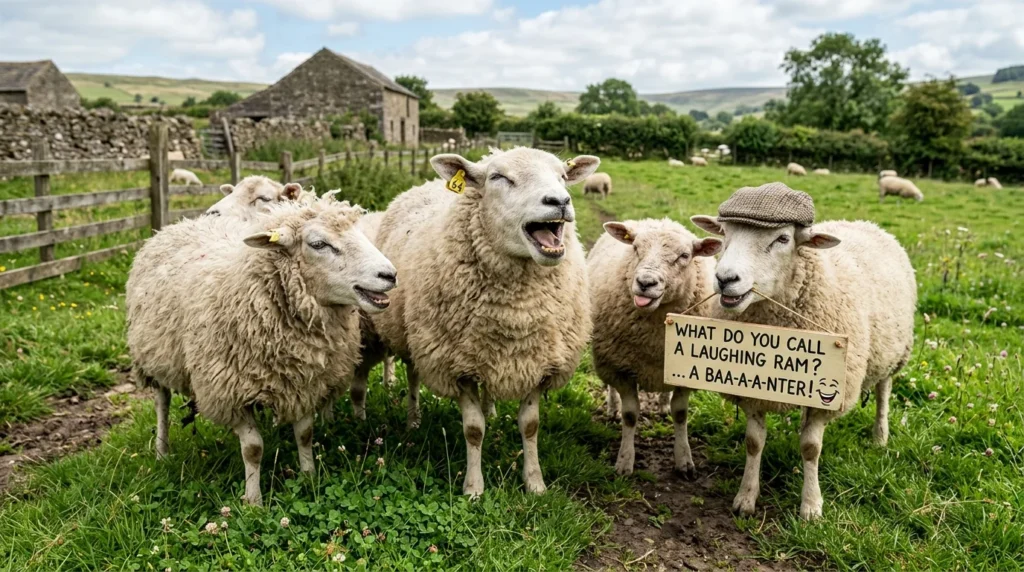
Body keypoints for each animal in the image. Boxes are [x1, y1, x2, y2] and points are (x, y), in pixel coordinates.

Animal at [126, 197, 397, 506]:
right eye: (318, 244)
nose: (389, 275)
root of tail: (177, 224)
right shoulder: (231, 392)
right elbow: (253, 448)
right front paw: (253, 500)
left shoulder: (304, 383)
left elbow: (305, 434)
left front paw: (309, 477)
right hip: (153, 357)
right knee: (162, 403)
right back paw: (162, 451)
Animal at [371, 146, 599, 496]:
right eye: (498, 177)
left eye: (563, 175)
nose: (560, 200)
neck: (516, 311)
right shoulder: (456, 365)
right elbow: (473, 429)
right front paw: (473, 488)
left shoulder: (538, 361)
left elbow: (530, 425)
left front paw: (535, 483)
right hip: (415, 338)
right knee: (413, 376)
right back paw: (413, 420)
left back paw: (490, 409)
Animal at [588, 219, 720, 476]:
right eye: (635, 248)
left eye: (685, 255)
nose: (645, 283)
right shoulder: (619, 367)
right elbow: (630, 415)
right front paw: (624, 462)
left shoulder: (687, 372)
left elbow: (681, 414)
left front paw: (684, 460)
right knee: (611, 388)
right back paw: (612, 407)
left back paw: (663, 405)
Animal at [691, 182, 916, 519]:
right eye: (724, 233)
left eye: (783, 238)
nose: (725, 279)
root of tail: (867, 223)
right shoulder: (752, 389)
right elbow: (753, 442)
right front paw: (746, 497)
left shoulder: (830, 393)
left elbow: (811, 448)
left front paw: (811, 506)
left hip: (891, 354)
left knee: (882, 393)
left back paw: (880, 437)